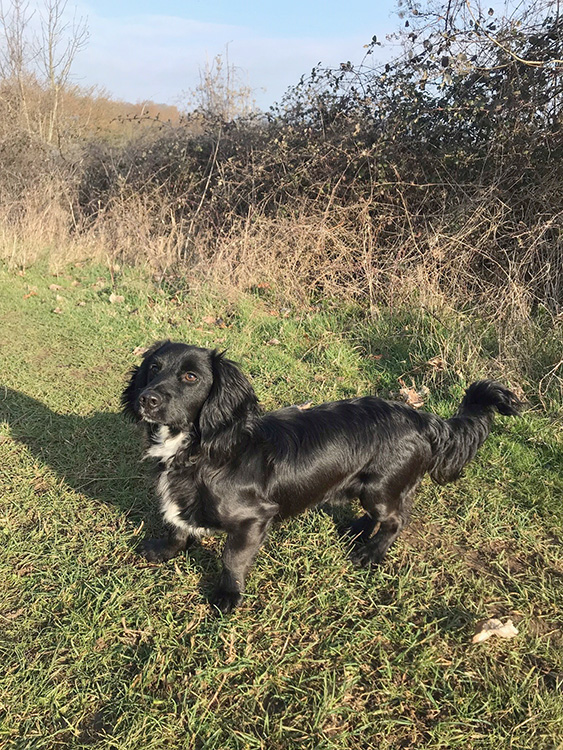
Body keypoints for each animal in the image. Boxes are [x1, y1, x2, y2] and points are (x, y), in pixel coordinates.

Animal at [122, 344, 520, 612]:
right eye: (153, 367)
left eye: (190, 377)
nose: (147, 399)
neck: (202, 448)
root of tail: (423, 418)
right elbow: (177, 527)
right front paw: (164, 551)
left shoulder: (252, 519)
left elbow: (232, 558)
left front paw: (228, 595)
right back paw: (358, 529)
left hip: (379, 488)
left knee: (396, 519)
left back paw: (370, 553)